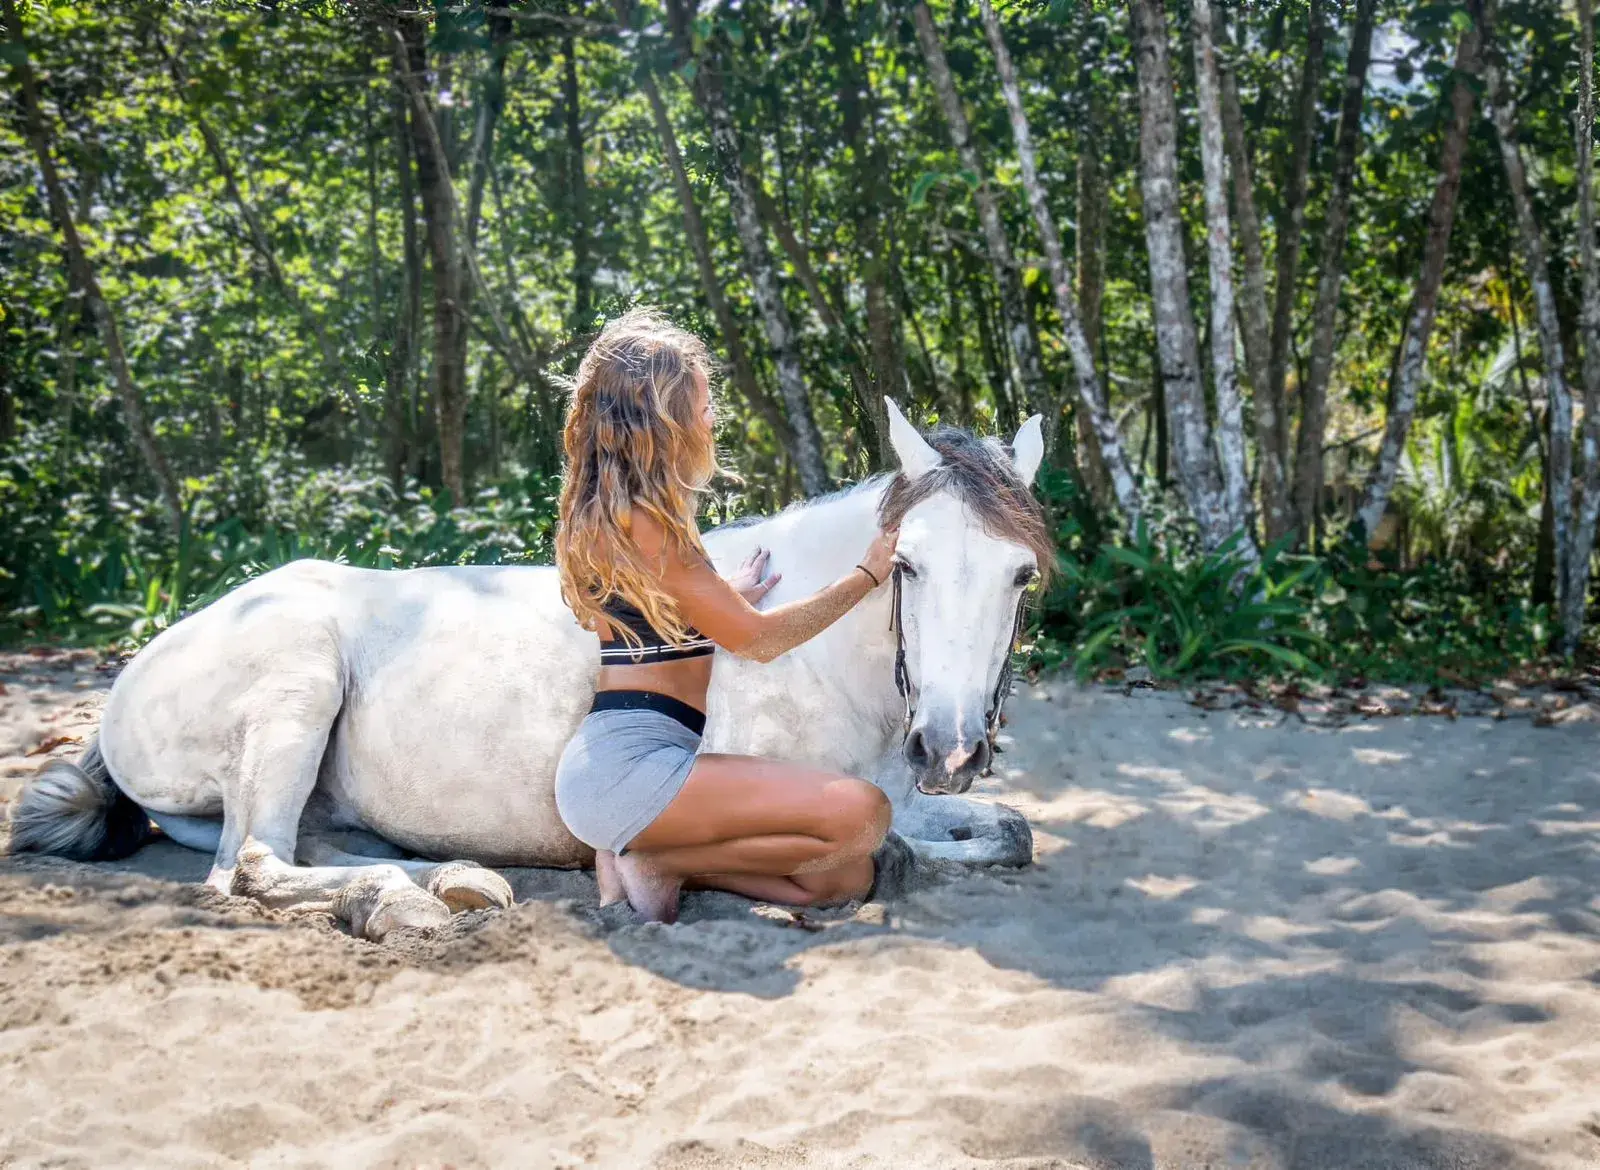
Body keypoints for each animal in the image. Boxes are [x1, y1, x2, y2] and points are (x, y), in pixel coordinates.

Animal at [9, 401, 1049, 940]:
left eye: (1021, 574)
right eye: (905, 565)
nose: (949, 749)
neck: (813, 656)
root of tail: (137, 671)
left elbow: (1008, 834)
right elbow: (885, 851)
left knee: (282, 850)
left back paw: (442, 880)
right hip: (297, 682)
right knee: (255, 867)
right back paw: (406, 899)